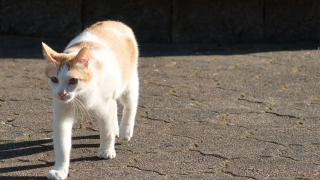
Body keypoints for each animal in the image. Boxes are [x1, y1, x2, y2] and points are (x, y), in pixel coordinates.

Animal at [41, 20, 139, 179]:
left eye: (73, 80)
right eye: (54, 79)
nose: (61, 93)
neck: (81, 95)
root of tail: (115, 22)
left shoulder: (104, 108)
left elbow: (106, 132)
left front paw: (107, 150)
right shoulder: (62, 117)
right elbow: (62, 145)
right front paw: (60, 169)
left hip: (129, 84)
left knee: (130, 106)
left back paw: (125, 130)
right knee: (115, 108)